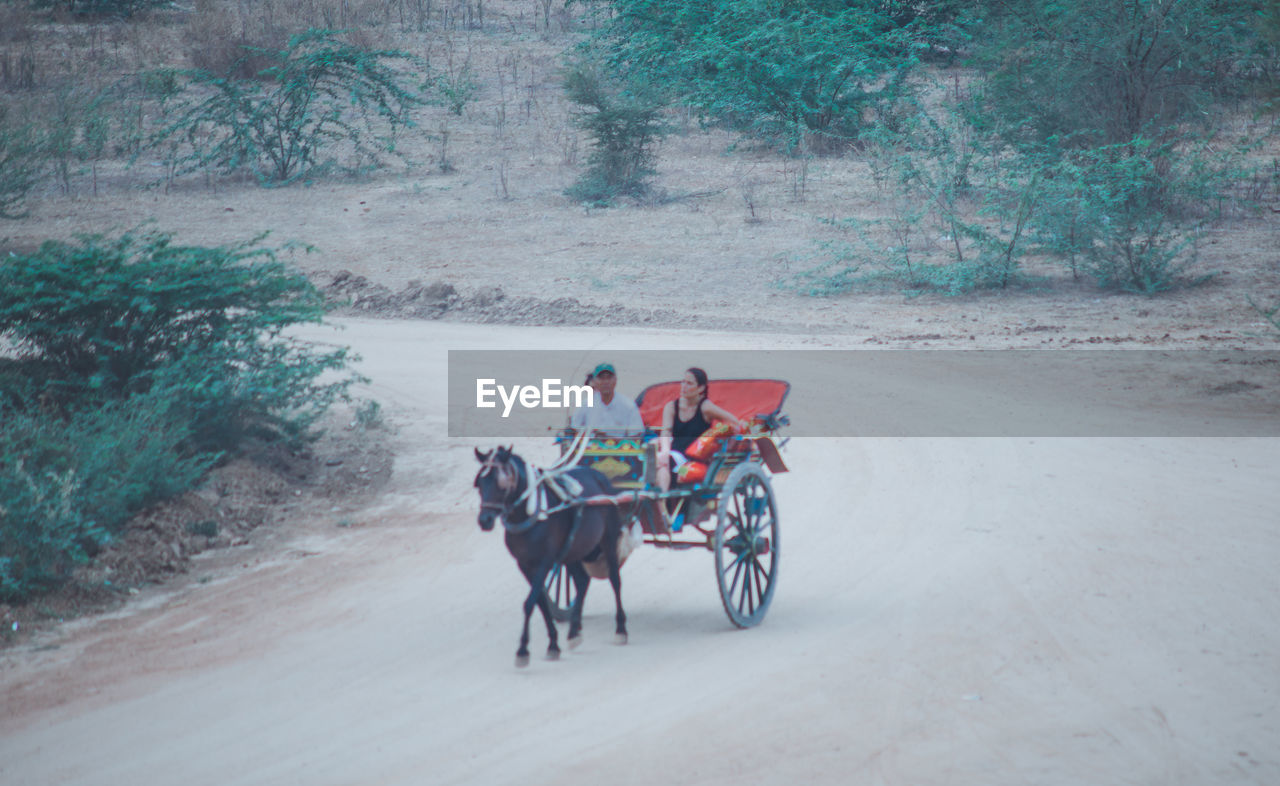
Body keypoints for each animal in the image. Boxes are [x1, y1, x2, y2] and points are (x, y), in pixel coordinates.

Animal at [473, 445, 627, 670]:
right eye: (479, 484)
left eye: (501, 483)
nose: (484, 520)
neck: (530, 514)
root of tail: (601, 476)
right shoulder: (524, 564)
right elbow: (540, 601)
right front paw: (553, 644)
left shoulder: (545, 562)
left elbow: (530, 602)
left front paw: (522, 650)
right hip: (573, 550)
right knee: (582, 581)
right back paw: (573, 632)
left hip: (608, 538)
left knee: (615, 580)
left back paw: (621, 629)